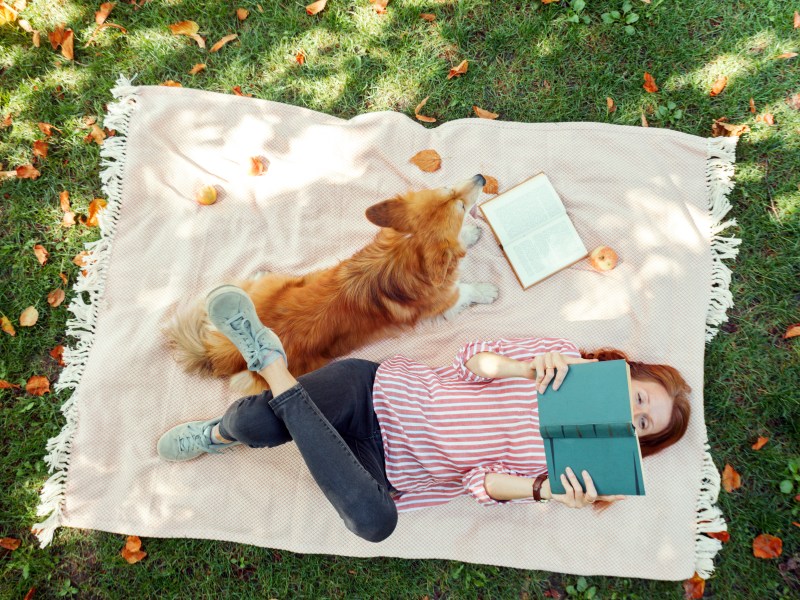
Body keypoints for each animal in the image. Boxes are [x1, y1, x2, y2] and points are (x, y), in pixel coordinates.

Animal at [163, 175, 496, 394]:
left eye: (451, 191)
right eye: (459, 204)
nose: (480, 176)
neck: (403, 251)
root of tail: (224, 352)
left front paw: (470, 236)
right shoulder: (446, 300)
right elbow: (467, 289)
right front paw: (488, 289)